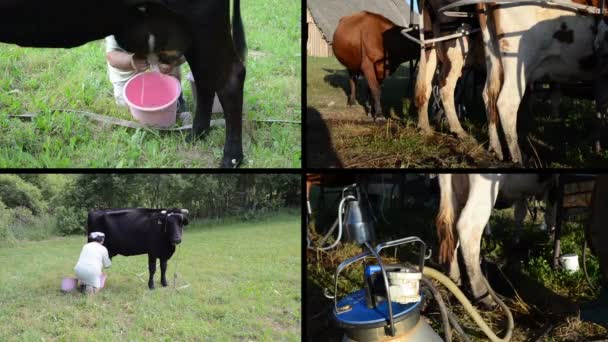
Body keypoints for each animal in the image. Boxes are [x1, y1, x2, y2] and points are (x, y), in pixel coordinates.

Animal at [436, 174, 556, 308]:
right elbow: (552, 216)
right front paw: (551, 244)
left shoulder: (524, 194)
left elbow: (520, 214)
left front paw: (516, 242)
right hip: (484, 187)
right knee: (467, 228)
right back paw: (484, 295)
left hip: (456, 190)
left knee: (451, 224)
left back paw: (454, 277)